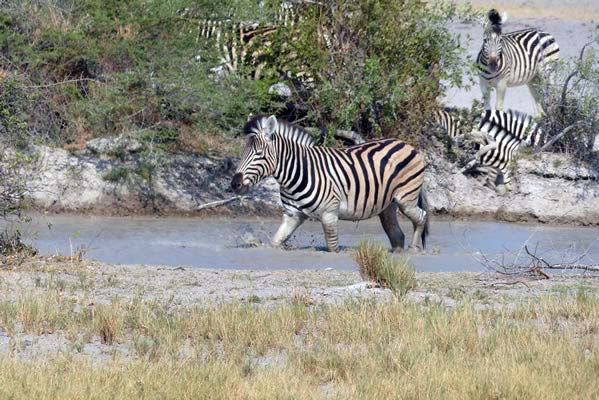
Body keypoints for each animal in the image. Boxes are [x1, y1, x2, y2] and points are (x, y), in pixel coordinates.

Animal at [231, 115, 432, 253]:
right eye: (243, 152)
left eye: (259, 154)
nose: (235, 184)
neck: (298, 173)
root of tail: (406, 144)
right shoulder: (292, 215)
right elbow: (276, 241)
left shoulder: (329, 214)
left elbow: (332, 247)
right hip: (388, 206)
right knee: (396, 233)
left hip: (406, 199)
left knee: (421, 217)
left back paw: (415, 250)